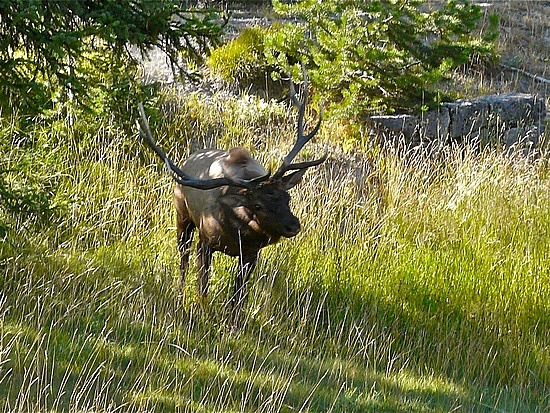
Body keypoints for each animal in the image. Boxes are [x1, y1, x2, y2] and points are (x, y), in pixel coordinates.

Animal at [139, 71, 328, 326]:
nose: (293, 225)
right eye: (257, 204)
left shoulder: (250, 255)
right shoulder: (205, 242)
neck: (238, 233)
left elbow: (239, 295)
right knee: (182, 258)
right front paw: (202, 311)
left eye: (287, 197)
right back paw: (179, 294)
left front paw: (234, 322)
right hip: (182, 216)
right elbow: (203, 285)